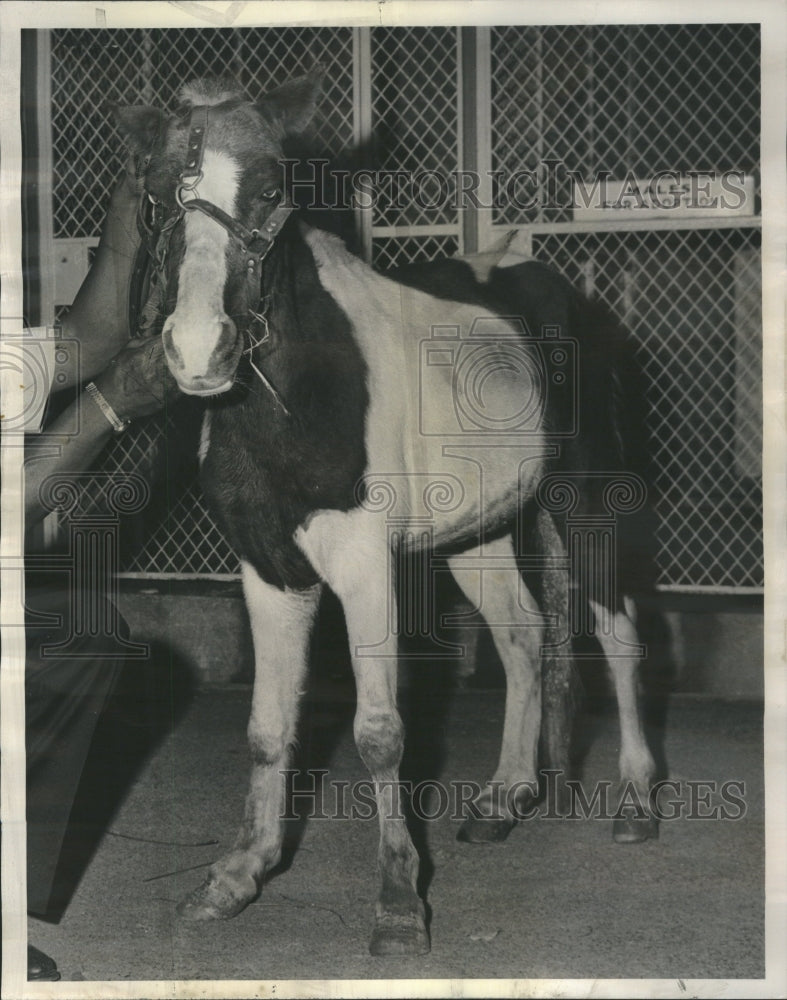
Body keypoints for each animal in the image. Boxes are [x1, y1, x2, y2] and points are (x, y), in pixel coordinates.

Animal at [112, 70, 660, 952]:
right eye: (157, 199)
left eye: (271, 189)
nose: (198, 352)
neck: (298, 396)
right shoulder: (269, 569)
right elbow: (267, 727)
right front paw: (237, 876)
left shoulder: (364, 565)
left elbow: (378, 732)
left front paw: (399, 902)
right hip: (478, 533)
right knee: (522, 635)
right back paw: (502, 799)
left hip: (586, 500)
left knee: (617, 634)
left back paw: (637, 802)